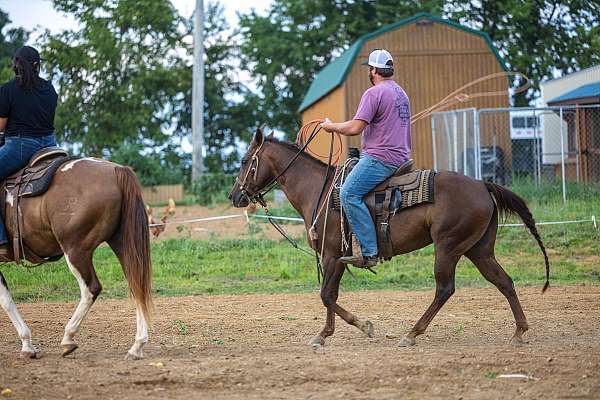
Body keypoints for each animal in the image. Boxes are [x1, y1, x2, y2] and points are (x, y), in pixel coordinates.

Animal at [0, 159, 154, 360]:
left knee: (91, 289)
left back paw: (68, 338)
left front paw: (27, 345)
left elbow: (6, 301)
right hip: (123, 244)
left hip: (75, 250)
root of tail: (116, 169)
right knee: (136, 286)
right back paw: (137, 347)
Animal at [230, 130, 548, 348]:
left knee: (445, 289)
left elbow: (326, 295)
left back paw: (411, 334)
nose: (234, 196)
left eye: (245, 160)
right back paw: (519, 331)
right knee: (504, 281)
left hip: (448, 246)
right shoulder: (335, 257)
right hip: (478, 249)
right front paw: (325, 335)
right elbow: (330, 295)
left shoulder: (333, 255)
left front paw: (359, 326)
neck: (319, 190)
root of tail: (483, 184)